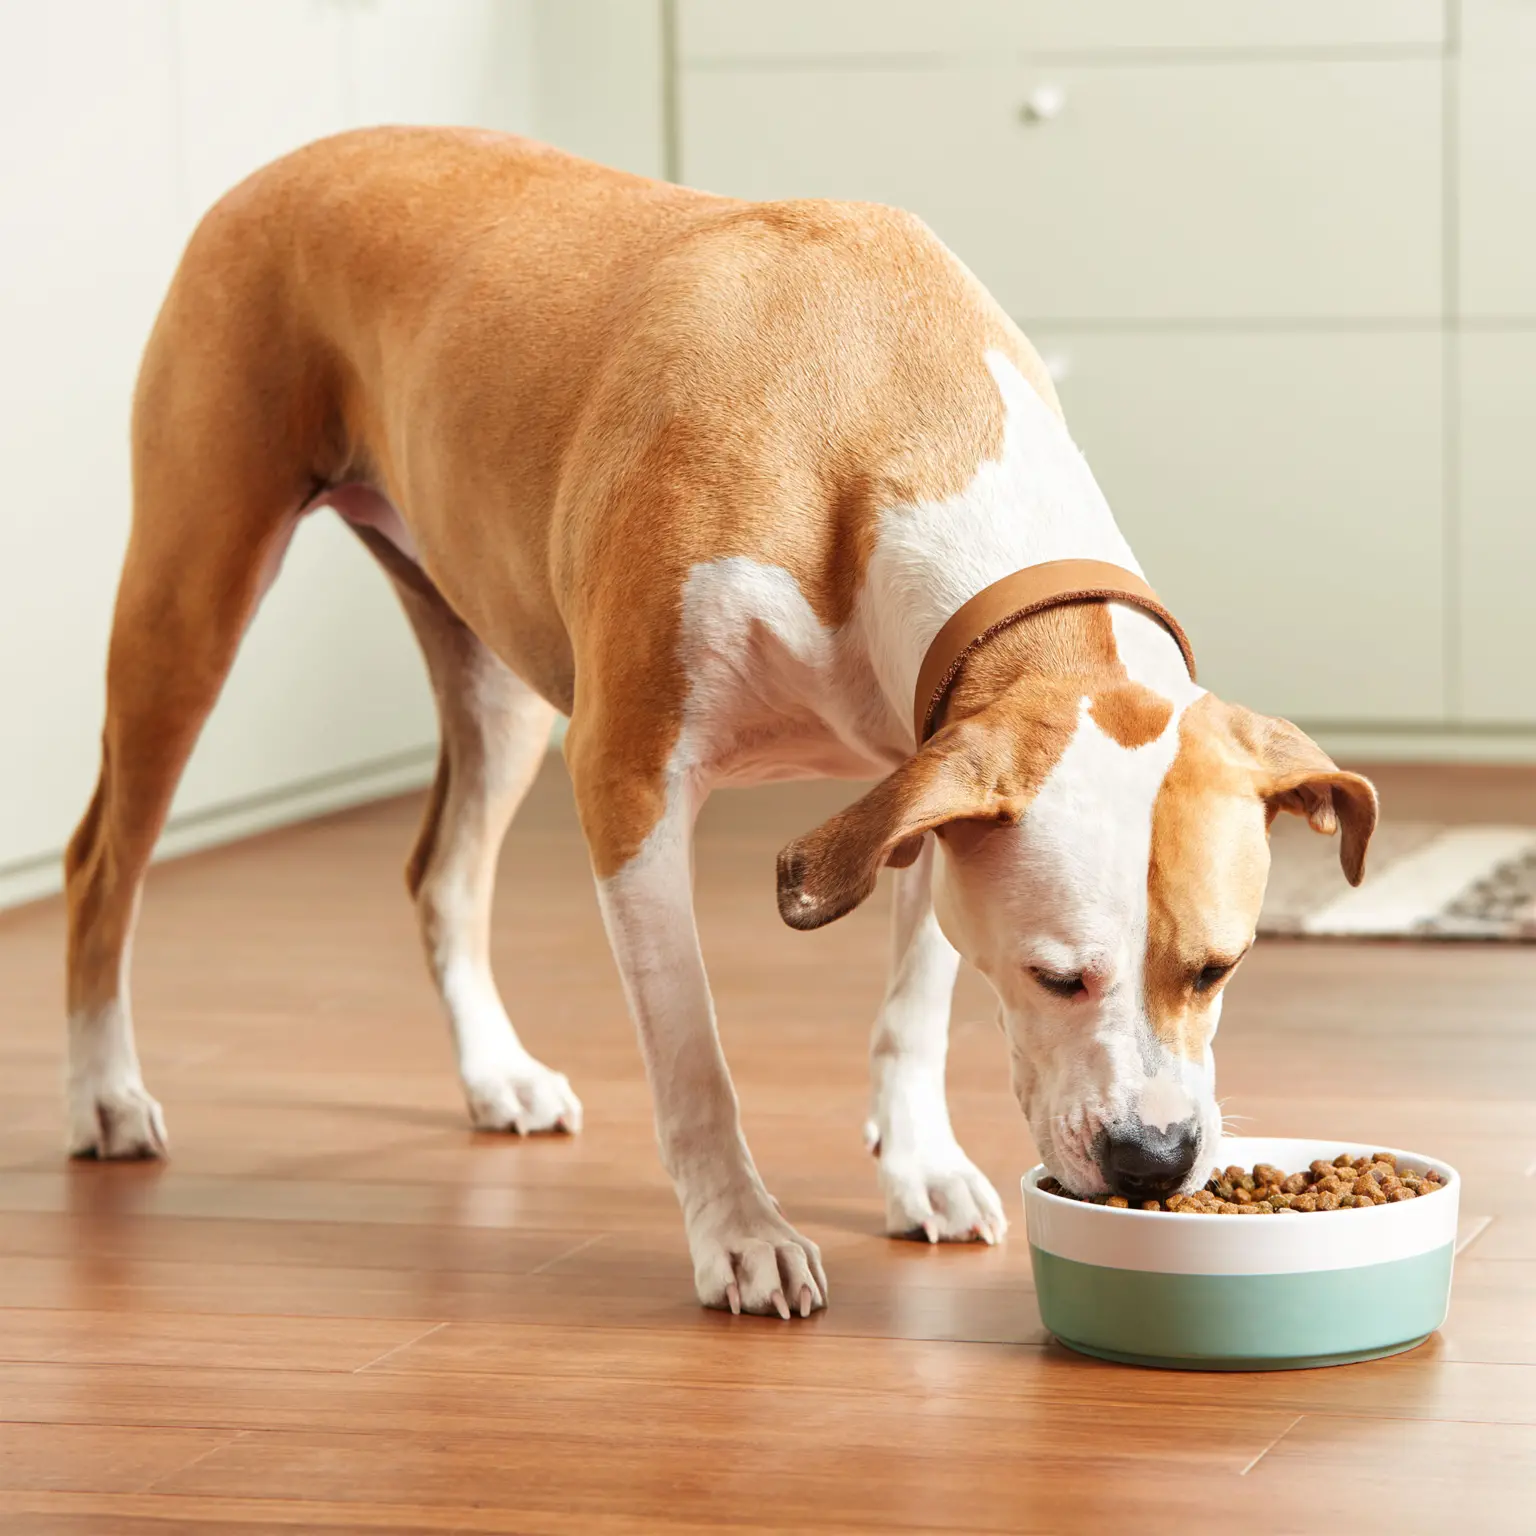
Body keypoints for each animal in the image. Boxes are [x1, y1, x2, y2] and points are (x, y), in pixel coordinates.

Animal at [62, 129, 1382, 1320]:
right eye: (1057, 977)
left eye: (1220, 967)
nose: (1154, 1161)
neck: (896, 419)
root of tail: (285, 164)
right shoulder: (632, 780)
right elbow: (693, 1055)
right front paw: (743, 1236)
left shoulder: (926, 770)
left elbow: (913, 1007)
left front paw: (919, 1166)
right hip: (190, 601)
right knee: (102, 863)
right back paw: (102, 1096)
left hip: (494, 673)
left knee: (443, 871)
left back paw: (495, 1075)